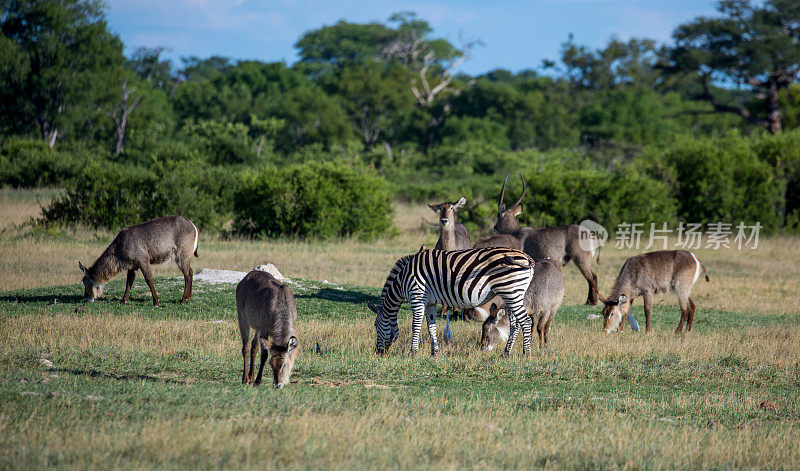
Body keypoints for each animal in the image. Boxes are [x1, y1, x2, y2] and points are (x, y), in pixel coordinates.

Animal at [370, 249, 536, 356]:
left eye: (376, 326)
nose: (378, 353)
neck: (402, 280)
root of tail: (527, 257)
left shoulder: (417, 296)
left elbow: (415, 325)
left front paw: (412, 352)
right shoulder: (429, 302)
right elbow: (431, 326)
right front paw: (434, 353)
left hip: (510, 291)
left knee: (526, 321)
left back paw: (526, 354)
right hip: (513, 293)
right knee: (515, 324)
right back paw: (506, 353)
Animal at [494, 177, 600, 306]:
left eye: (499, 215)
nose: (494, 228)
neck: (516, 231)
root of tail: (592, 235)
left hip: (581, 260)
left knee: (592, 277)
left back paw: (591, 302)